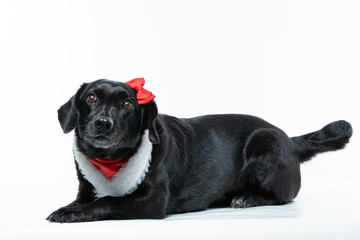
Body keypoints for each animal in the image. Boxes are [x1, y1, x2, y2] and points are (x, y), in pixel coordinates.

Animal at [46, 78, 352, 222]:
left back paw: (246, 198)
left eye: (128, 104)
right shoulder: (85, 190)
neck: (110, 161)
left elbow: (107, 201)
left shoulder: (151, 201)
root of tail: (288, 137)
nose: (102, 123)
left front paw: (71, 214)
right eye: (91, 98)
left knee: (280, 198)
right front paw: (66, 208)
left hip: (266, 149)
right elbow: (82, 200)